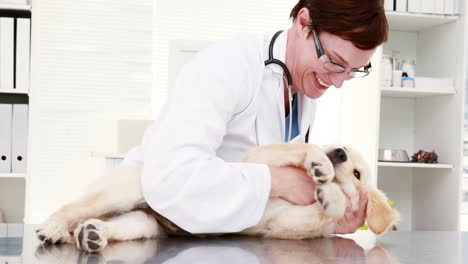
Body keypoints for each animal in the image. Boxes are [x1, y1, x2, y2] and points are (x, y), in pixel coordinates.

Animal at [35, 143, 398, 253]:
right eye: (343, 147)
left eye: (358, 174)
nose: (338, 152)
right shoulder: (258, 158)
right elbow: (298, 147)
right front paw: (317, 163)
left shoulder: (285, 224)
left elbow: (324, 210)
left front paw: (332, 197)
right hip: (122, 193)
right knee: (72, 207)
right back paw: (53, 227)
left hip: (142, 224)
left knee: (110, 226)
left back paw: (92, 234)